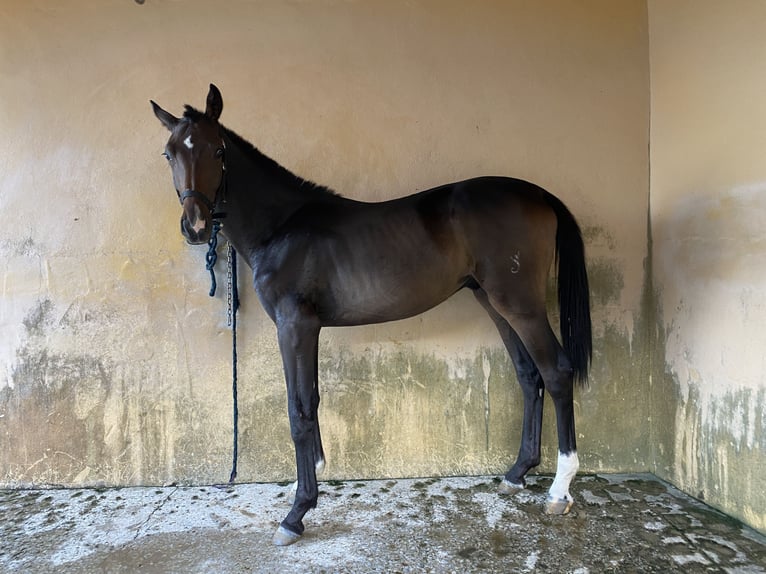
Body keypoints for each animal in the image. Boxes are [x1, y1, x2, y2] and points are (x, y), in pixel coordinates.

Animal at [151, 84, 592, 546]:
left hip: (520, 304)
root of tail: (540, 195)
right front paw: (313, 475)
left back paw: (560, 490)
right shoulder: (309, 328)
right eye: (168, 153)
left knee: (557, 372)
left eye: (218, 150)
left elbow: (298, 409)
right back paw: (516, 473)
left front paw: (297, 513)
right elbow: (312, 398)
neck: (282, 227)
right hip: (495, 302)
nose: (196, 227)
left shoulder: (294, 326)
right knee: (529, 375)